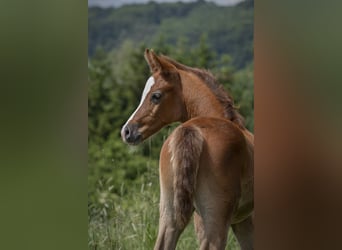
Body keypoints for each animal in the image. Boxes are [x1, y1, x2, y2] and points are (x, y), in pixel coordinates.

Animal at [121, 49, 254, 250]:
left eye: (156, 95)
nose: (127, 131)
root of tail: (191, 130)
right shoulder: (245, 219)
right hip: (216, 218)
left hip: (170, 213)